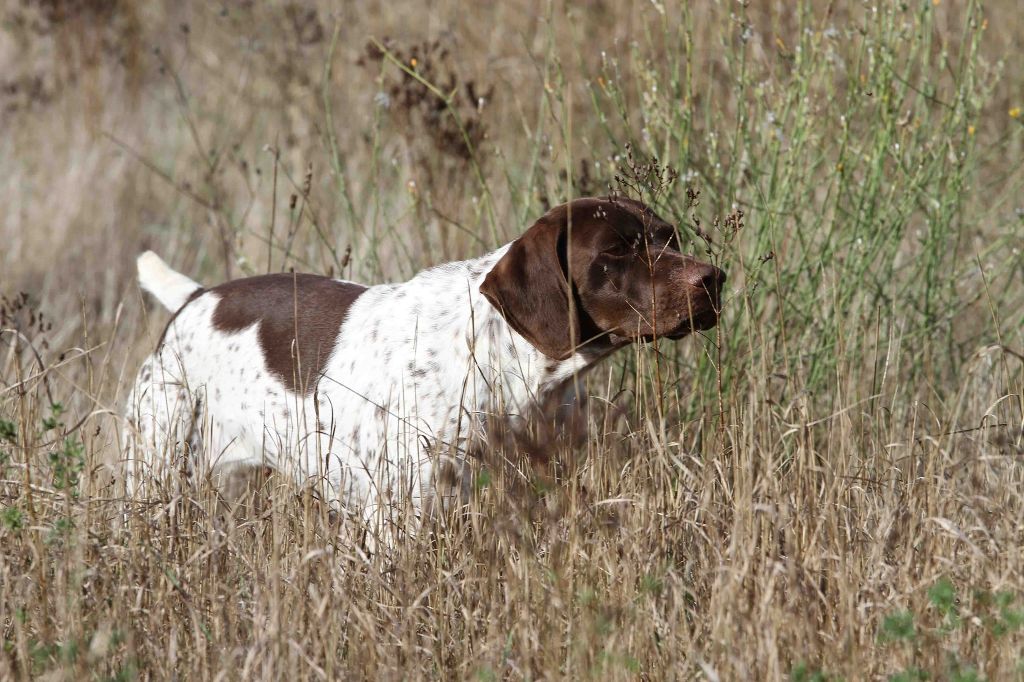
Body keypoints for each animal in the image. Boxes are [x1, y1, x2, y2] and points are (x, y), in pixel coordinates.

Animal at [121, 196, 729, 532]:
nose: (714, 280)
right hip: (155, 472)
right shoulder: (398, 522)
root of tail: (197, 298)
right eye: (615, 253)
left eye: (669, 237)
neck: (503, 363)